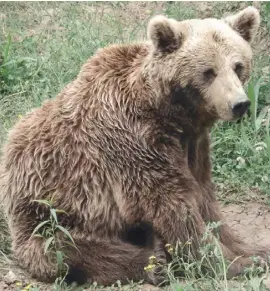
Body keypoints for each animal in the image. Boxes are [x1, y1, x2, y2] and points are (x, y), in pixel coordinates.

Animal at [0, 4, 268, 288]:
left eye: (238, 66)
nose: (239, 104)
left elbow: (206, 200)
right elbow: (173, 206)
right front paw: (233, 263)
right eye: (208, 71)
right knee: (69, 248)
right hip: (47, 209)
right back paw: (155, 260)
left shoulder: (193, 144)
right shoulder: (132, 140)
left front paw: (254, 250)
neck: (171, 114)